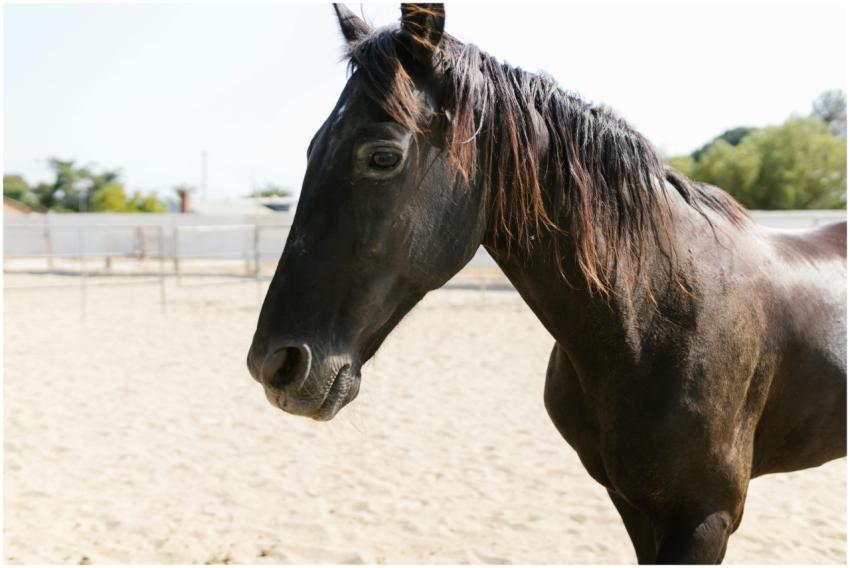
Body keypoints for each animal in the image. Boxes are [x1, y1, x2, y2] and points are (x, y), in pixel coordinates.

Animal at [247, 4, 846, 563]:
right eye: (312, 149)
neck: (654, 316)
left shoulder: (706, 517)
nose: (275, 365)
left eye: (382, 156)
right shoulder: (634, 506)